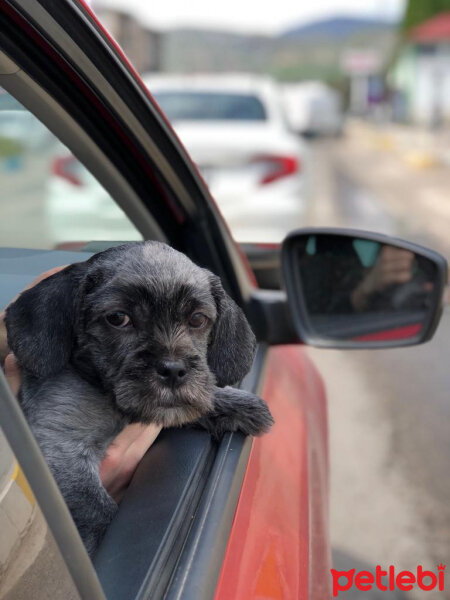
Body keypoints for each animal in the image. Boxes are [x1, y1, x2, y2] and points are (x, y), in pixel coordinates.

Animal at [4, 241, 274, 556]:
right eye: (118, 318)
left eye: (197, 319)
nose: (173, 370)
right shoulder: (59, 444)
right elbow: (98, 510)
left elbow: (195, 402)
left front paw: (241, 405)